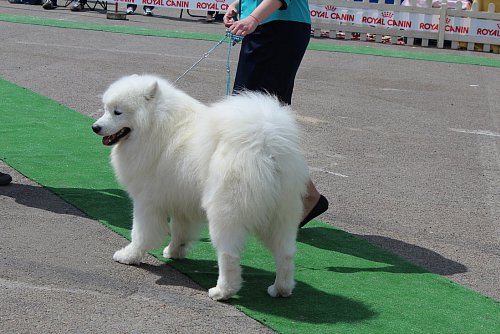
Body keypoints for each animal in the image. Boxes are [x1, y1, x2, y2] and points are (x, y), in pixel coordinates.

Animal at [90, 75, 308, 300]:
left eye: (117, 112)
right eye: (105, 108)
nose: (95, 127)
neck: (156, 124)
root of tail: (265, 146)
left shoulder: (146, 202)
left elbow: (141, 234)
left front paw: (129, 255)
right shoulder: (182, 202)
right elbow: (180, 232)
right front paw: (174, 252)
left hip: (226, 214)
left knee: (229, 255)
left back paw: (222, 291)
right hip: (281, 216)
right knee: (286, 254)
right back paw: (281, 289)